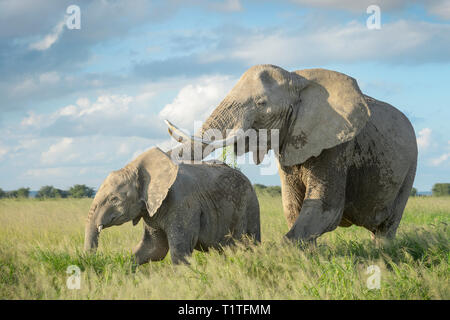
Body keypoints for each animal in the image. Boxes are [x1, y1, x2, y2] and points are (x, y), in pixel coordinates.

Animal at [83, 146, 260, 264]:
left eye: (114, 199)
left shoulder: (182, 203)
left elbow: (179, 252)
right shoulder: (151, 210)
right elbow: (153, 249)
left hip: (251, 205)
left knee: (249, 244)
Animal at [165, 63, 418, 241]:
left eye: (260, 103)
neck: (297, 78)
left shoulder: (337, 146)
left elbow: (325, 209)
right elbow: (292, 206)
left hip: (410, 169)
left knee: (386, 228)